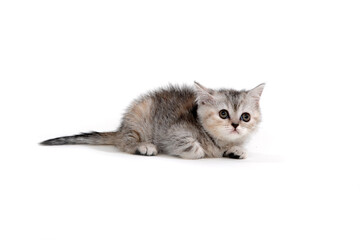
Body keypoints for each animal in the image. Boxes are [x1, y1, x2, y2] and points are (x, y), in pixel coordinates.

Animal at [40, 82, 264, 159]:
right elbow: (192, 146)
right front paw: (202, 150)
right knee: (125, 143)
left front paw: (236, 150)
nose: (235, 125)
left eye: (245, 117)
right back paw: (143, 146)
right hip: (140, 116)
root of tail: (121, 128)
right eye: (223, 114)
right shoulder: (172, 133)